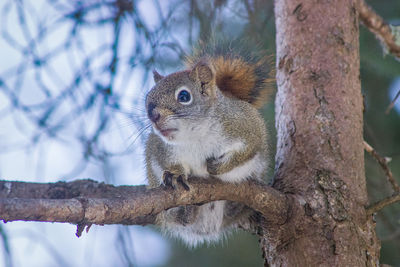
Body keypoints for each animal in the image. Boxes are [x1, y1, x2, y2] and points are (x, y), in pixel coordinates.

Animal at [145, 40, 276, 248]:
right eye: (148, 98)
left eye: (184, 96)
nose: (153, 115)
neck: (195, 134)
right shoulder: (159, 146)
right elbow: (166, 161)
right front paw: (175, 174)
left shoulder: (247, 128)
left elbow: (247, 151)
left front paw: (218, 167)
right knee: (180, 219)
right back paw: (187, 209)